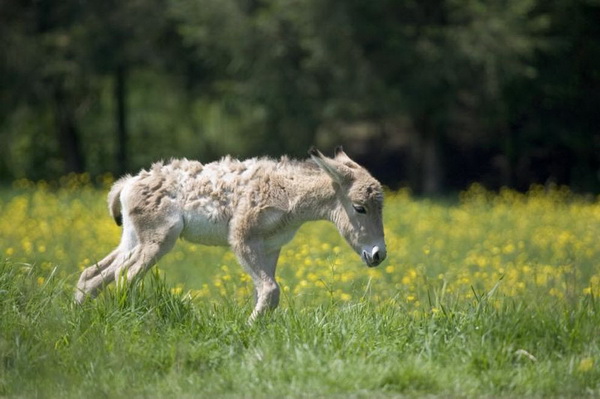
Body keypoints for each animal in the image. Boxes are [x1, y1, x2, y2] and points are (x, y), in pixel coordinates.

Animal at [76, 148, 384, 320]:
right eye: (360, 207)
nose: (379, 255)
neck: (288, 192)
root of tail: (127, 184)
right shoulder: (241, 239)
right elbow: (271, 290)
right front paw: (248, 329)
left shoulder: (271, 247)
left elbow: (265, 291)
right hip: (158, 241)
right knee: (124, 275)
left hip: (132, 239)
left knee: (92, 275)